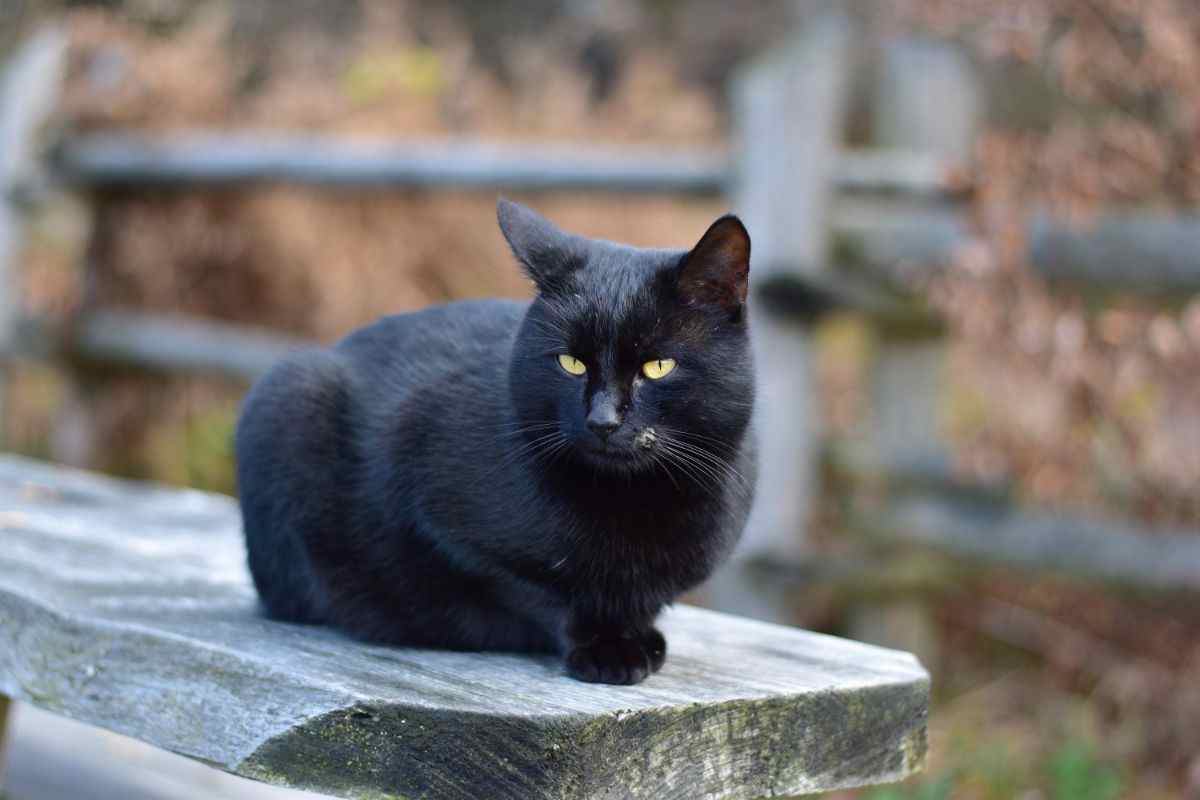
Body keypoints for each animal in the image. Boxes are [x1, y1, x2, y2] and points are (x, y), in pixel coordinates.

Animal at [235, 199, 753, 681]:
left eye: (658, 366)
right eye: (570, 363)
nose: (602, 420)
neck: (631, 504)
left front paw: (637, 636)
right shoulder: (446, 521)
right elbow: (541, 591)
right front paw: (607, 648)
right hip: (291, 390)